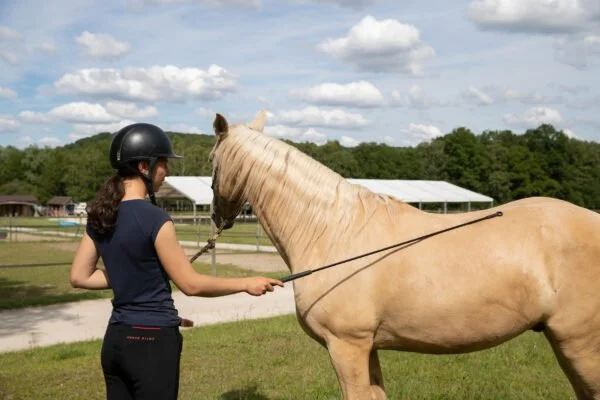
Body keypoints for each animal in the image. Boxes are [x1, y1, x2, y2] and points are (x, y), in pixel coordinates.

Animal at [209, 111, 600, 398]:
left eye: (212, 159)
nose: (216, 217)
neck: (334, 232)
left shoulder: (346, 347)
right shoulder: (368, 348)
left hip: (580, 344)